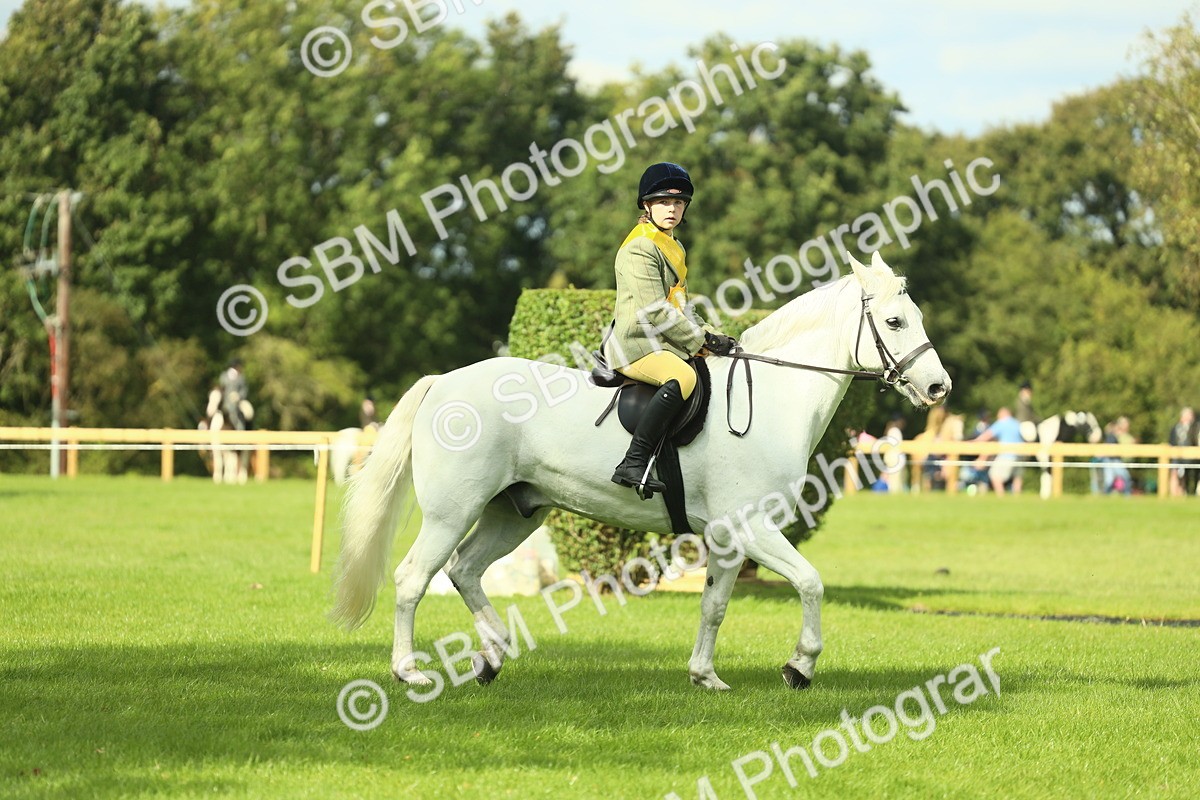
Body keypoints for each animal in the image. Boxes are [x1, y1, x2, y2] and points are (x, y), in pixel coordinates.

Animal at [330, 251, 951, 691]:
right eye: (894, 320)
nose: (939, 387)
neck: (774, 397)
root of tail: (444, 382)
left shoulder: (729, 539)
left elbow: (714, 605)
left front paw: (705, 676)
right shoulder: (753, 527)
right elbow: (810, 582)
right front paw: (800, 667)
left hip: (515, 512)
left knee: (464, 571)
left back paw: (494, 655)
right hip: (452, 511)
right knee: (414, 578)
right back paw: (410, 671)